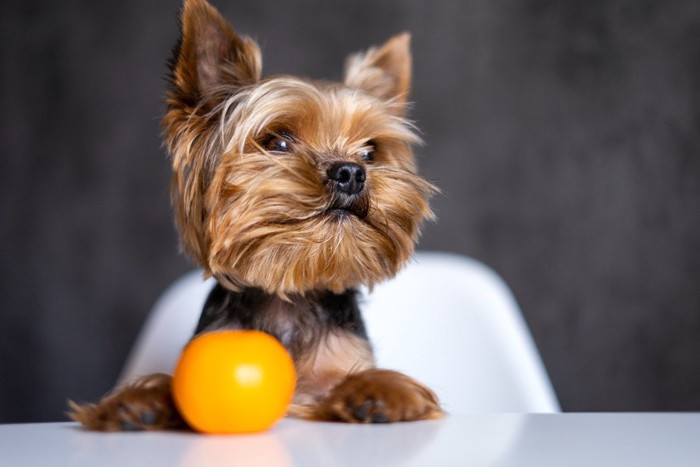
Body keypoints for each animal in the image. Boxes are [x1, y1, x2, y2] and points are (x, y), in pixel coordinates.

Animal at [71, 0, 442, 432]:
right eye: (278, 142)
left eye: (370, 151)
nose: (351, 172)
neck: (288, 296)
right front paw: (136, 400)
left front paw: (380, 391)